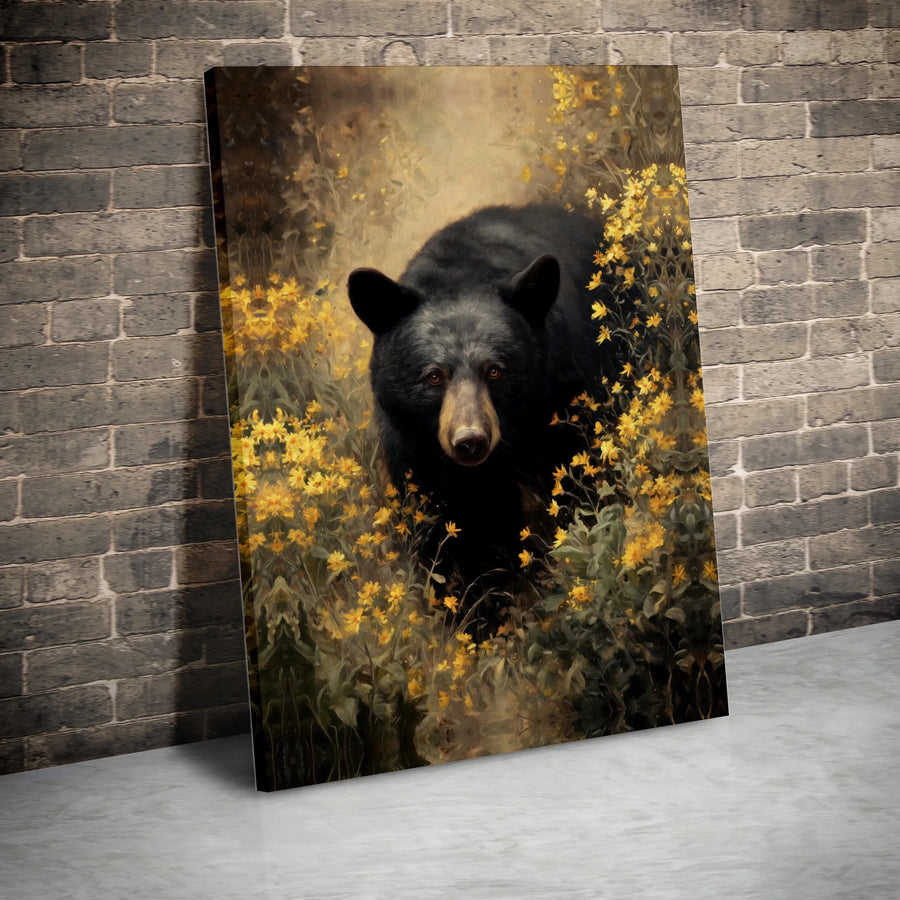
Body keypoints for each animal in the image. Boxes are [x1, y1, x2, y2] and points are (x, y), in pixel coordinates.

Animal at [348, 203, 628, 589]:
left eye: (494, 370)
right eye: (434, 376)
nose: (470, 441)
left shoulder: (561, 402)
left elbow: (578, 477)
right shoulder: (416, 451)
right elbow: (448, 535)